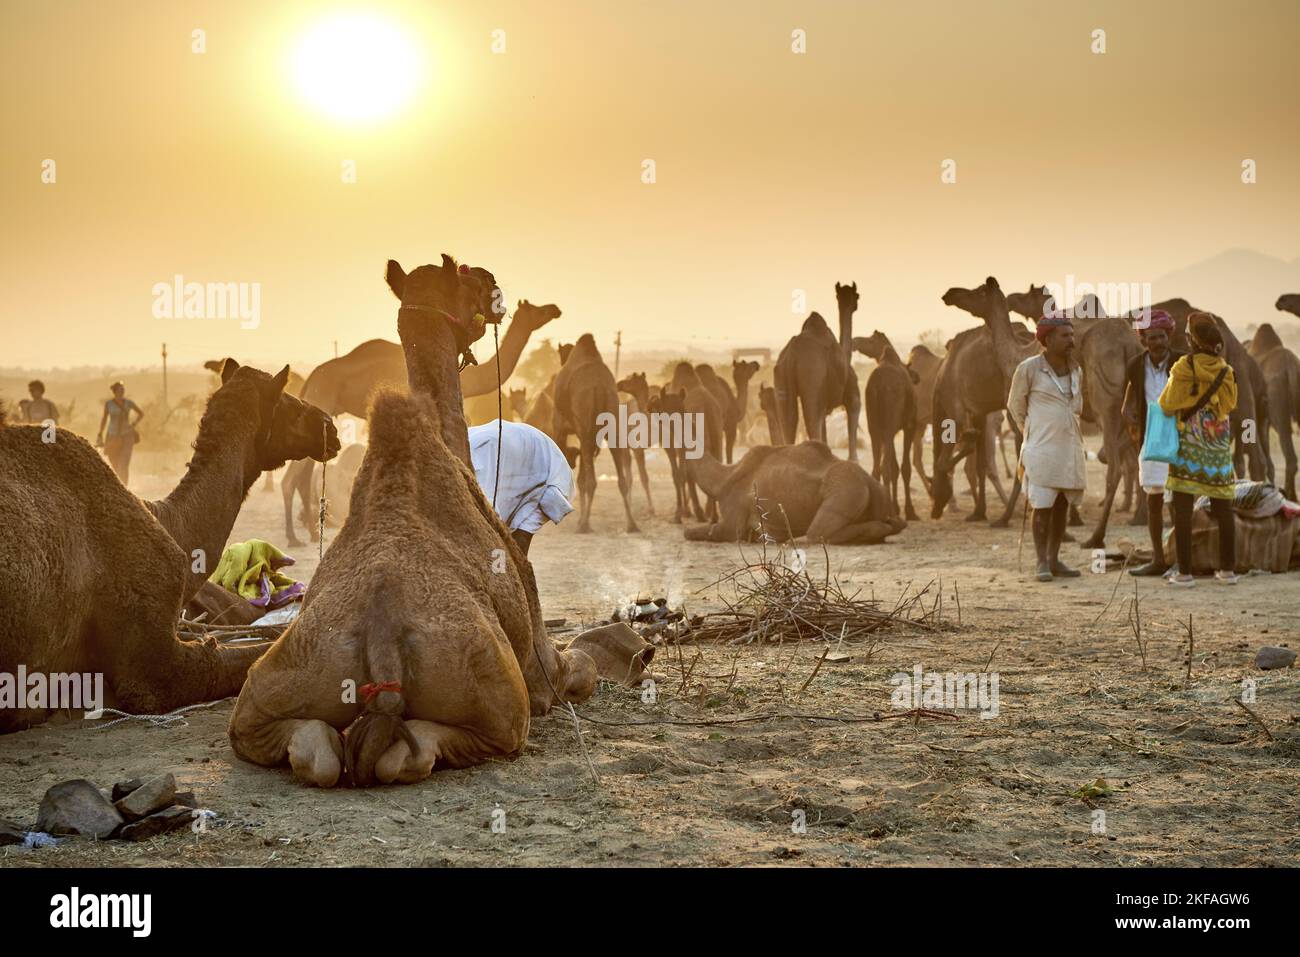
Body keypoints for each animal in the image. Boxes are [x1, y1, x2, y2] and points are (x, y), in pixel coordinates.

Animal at [280, 300, 560, 545]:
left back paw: (311, 533)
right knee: (291, 479)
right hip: (323, 398)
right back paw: (294, 538)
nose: (554, 309)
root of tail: (310, 378)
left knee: (303, 475)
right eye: (535, 310)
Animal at [553, 334, 640, 534]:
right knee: (621, 479)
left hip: (586, 428)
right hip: (611, 422)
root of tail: (598, 387)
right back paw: (631, 524)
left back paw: (584, 525)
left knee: (591, 481)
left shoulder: (561, 426)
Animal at [682, 441, 906, 544]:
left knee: (817, 533)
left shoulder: (732, 521)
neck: (721, 481)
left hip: (847, 488)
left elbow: (704, 532)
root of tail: (871, 483)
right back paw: (892, 525)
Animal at [774, 282, 862, 461]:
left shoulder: (825, 405)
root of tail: (792, 352)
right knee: (811, 427)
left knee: (789, 422)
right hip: (812, 377)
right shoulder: (853, 396)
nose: (856, 304)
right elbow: (852, 453)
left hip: (781, 378)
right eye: (857, 296)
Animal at [853, 331, 918, 521]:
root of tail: (877, 386)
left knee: (877, 468)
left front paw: (897, 508)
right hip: (888, 425)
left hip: (873, 426)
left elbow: (895, 467)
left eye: (869, 339)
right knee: (885, 467)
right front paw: (910, 511)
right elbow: (904, 467)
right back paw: (888, 512)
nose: (855, 341)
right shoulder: (909, 425)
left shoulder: (888, 429)